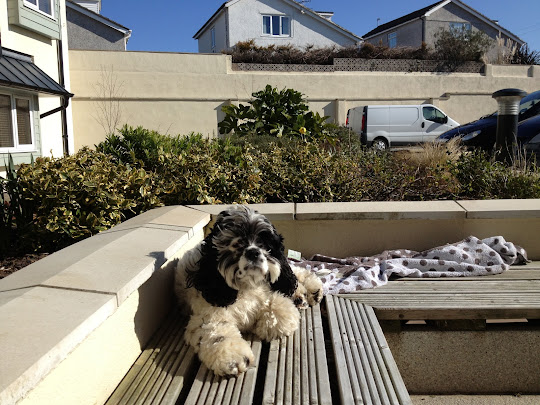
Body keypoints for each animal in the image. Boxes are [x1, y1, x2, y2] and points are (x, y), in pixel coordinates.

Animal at [175, 205, 322, 376]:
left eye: (264, 244)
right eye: (236, 244)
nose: (253, 251)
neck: (246, 286)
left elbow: (279, 311)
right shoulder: (206, 316)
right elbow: (217, 333)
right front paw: (233, 358)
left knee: (295, 272)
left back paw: (312, 290)